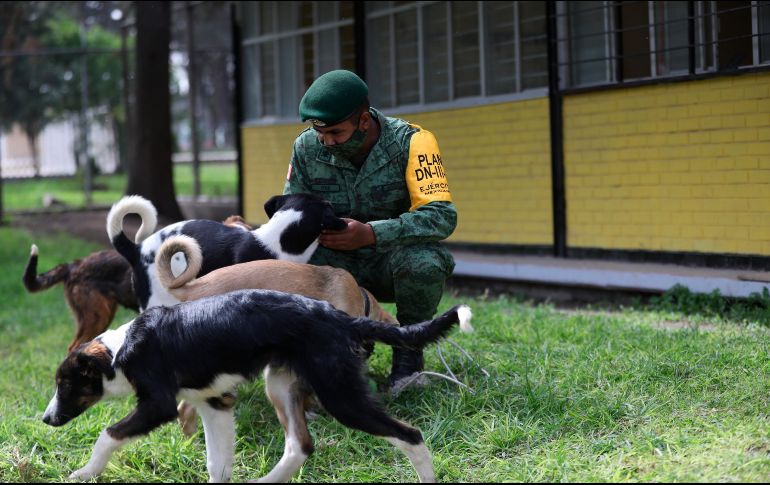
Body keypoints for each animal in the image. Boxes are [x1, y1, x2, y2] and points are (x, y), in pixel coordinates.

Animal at [43, 290, 474, 482]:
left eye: (66, 384)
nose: (46, 419)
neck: (119, 350)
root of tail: (340, 318)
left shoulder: (157, 405)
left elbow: (107, 435)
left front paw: (84, 472)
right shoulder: (215, 402)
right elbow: (217, 464)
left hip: (341, 396)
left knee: (411, 435)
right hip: (280, 384)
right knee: (300, 446)